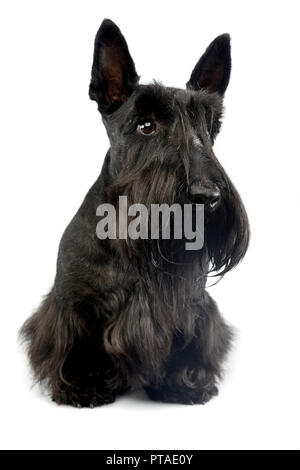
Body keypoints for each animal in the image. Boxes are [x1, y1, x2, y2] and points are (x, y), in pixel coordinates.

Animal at [20, 19, 248, 408]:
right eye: (146, 125)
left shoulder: (192, 305)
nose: (209, 196)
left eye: (208, 126)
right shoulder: (73, 303)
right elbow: (78, 344)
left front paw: (182, 383)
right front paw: (84, 383)